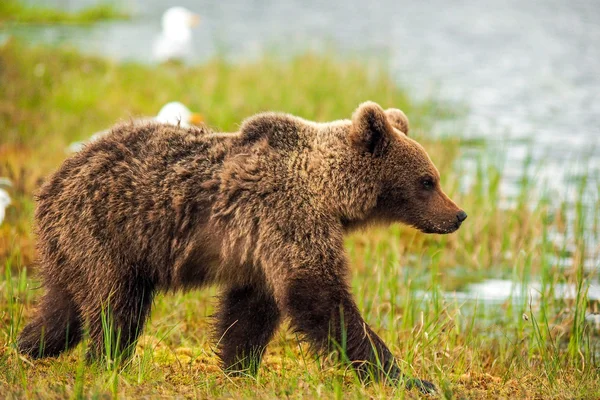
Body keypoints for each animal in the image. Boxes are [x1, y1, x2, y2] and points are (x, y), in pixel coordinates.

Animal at [17, 101, 464, 392]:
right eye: (428, 180)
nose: (457, 215)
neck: (330, 192)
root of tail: (56, 178)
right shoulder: (288, 216)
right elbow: (319, 296)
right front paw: (407, 377)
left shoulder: (262, 245)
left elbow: (251, 310)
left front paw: (240, 368)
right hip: (108, 232)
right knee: (116, 306)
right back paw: (108, 361)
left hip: (71, 246)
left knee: (63, 308)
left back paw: (28, 345)